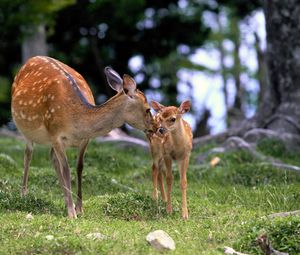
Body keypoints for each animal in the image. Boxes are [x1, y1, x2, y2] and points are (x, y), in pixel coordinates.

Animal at [10, 56, 156, 219]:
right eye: (147, 109)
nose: (156, 127)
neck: (76, 120)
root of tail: (31, 59)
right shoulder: (55, 134)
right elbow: (66, 170)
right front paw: (72, 213)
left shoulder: (85, 140)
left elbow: (79, 167)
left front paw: (79, 208)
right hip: (26, 129)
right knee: (28, 154)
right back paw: (24, 194)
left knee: (52, 158)